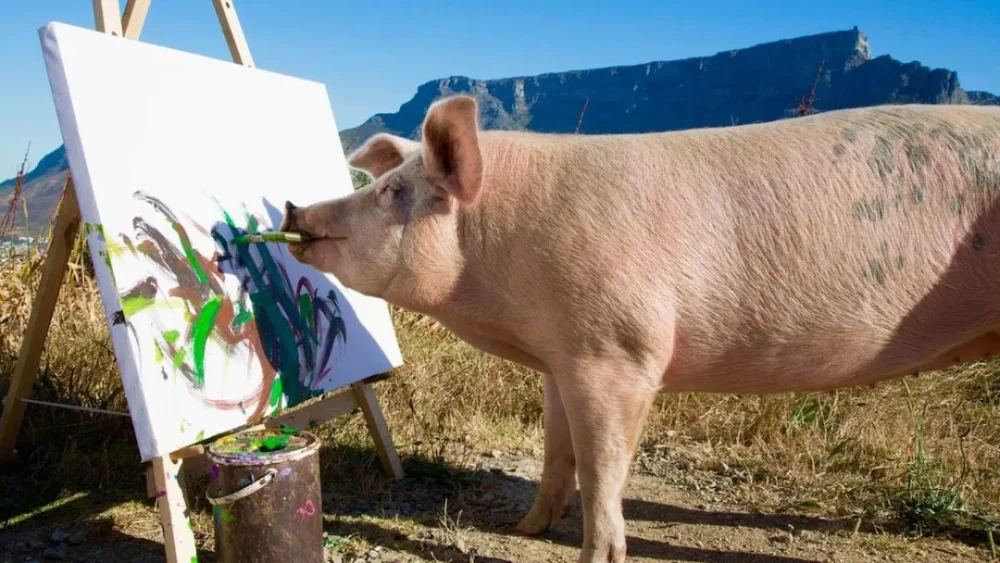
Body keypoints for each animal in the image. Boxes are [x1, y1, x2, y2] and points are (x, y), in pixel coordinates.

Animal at [281, 94, 1000, 563]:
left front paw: (592, 556)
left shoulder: (618, 350)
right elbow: (557, 450)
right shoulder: (560, 357)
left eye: (390, 194)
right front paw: (528, 528)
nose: (292, 207)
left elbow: (603, 466)